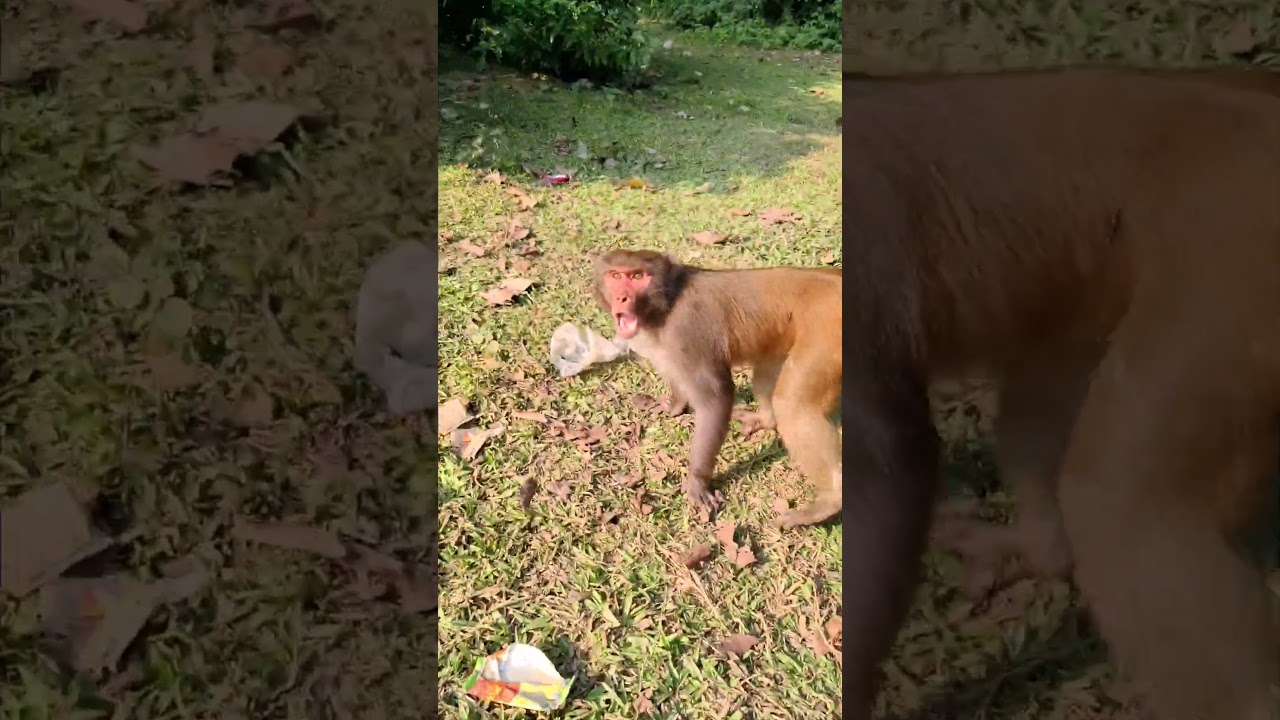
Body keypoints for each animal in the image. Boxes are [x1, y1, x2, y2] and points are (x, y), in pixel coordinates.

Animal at [594, 250, 842, 528]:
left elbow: (716, 398)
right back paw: (766, 420)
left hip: (829, 334)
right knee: (765, 376)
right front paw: (674, 406)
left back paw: (829, 502)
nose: (621, 297)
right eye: (615, 276)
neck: (669, 300)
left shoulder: (687, 328)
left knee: (792, 403)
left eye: (638, 276)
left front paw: (698, 481)